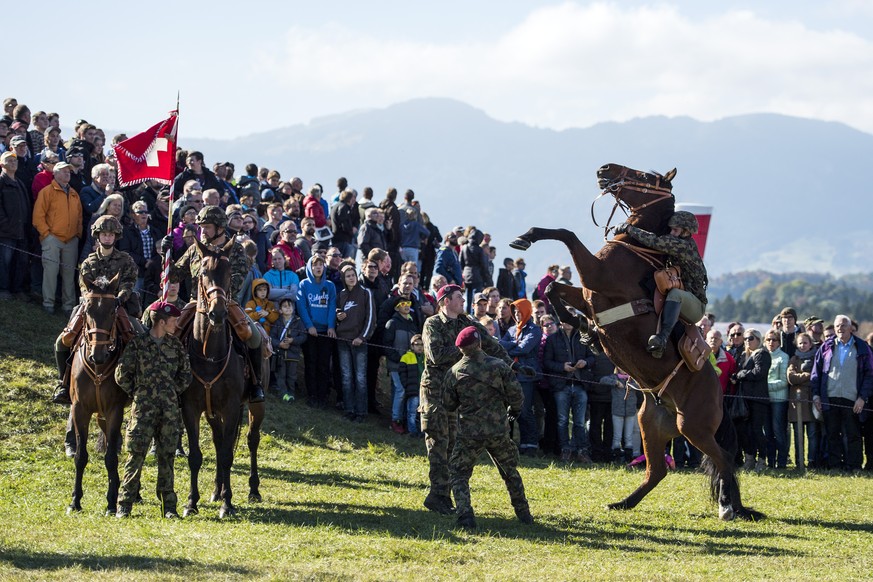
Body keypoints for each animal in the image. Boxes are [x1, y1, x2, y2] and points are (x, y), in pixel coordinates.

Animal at [181, 240, 264, 524]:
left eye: (229, 274)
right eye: (204, 272)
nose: (217, 313)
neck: (209, 354)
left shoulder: (230, 408)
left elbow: (228, 455)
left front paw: (228, 505)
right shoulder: (192, 409)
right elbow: (196, 455)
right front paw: (191, 502)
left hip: (254, 406)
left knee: (251, 439)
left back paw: (252, 490)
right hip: (212, 412)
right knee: (218, 442)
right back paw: (216, 490)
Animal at [510, 162, 764, 524]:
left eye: (645, 177)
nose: (605, 168)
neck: (639, 250)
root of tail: (719, 395)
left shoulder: (596, 276)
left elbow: (566, 235)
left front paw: (526, 237)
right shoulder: (589, 293)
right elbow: (553, 289)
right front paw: (586, 330)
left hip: (694, 428)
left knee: (724, 458)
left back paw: (727, 506)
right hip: (650, 425)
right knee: (657, 471)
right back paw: (623, 503)